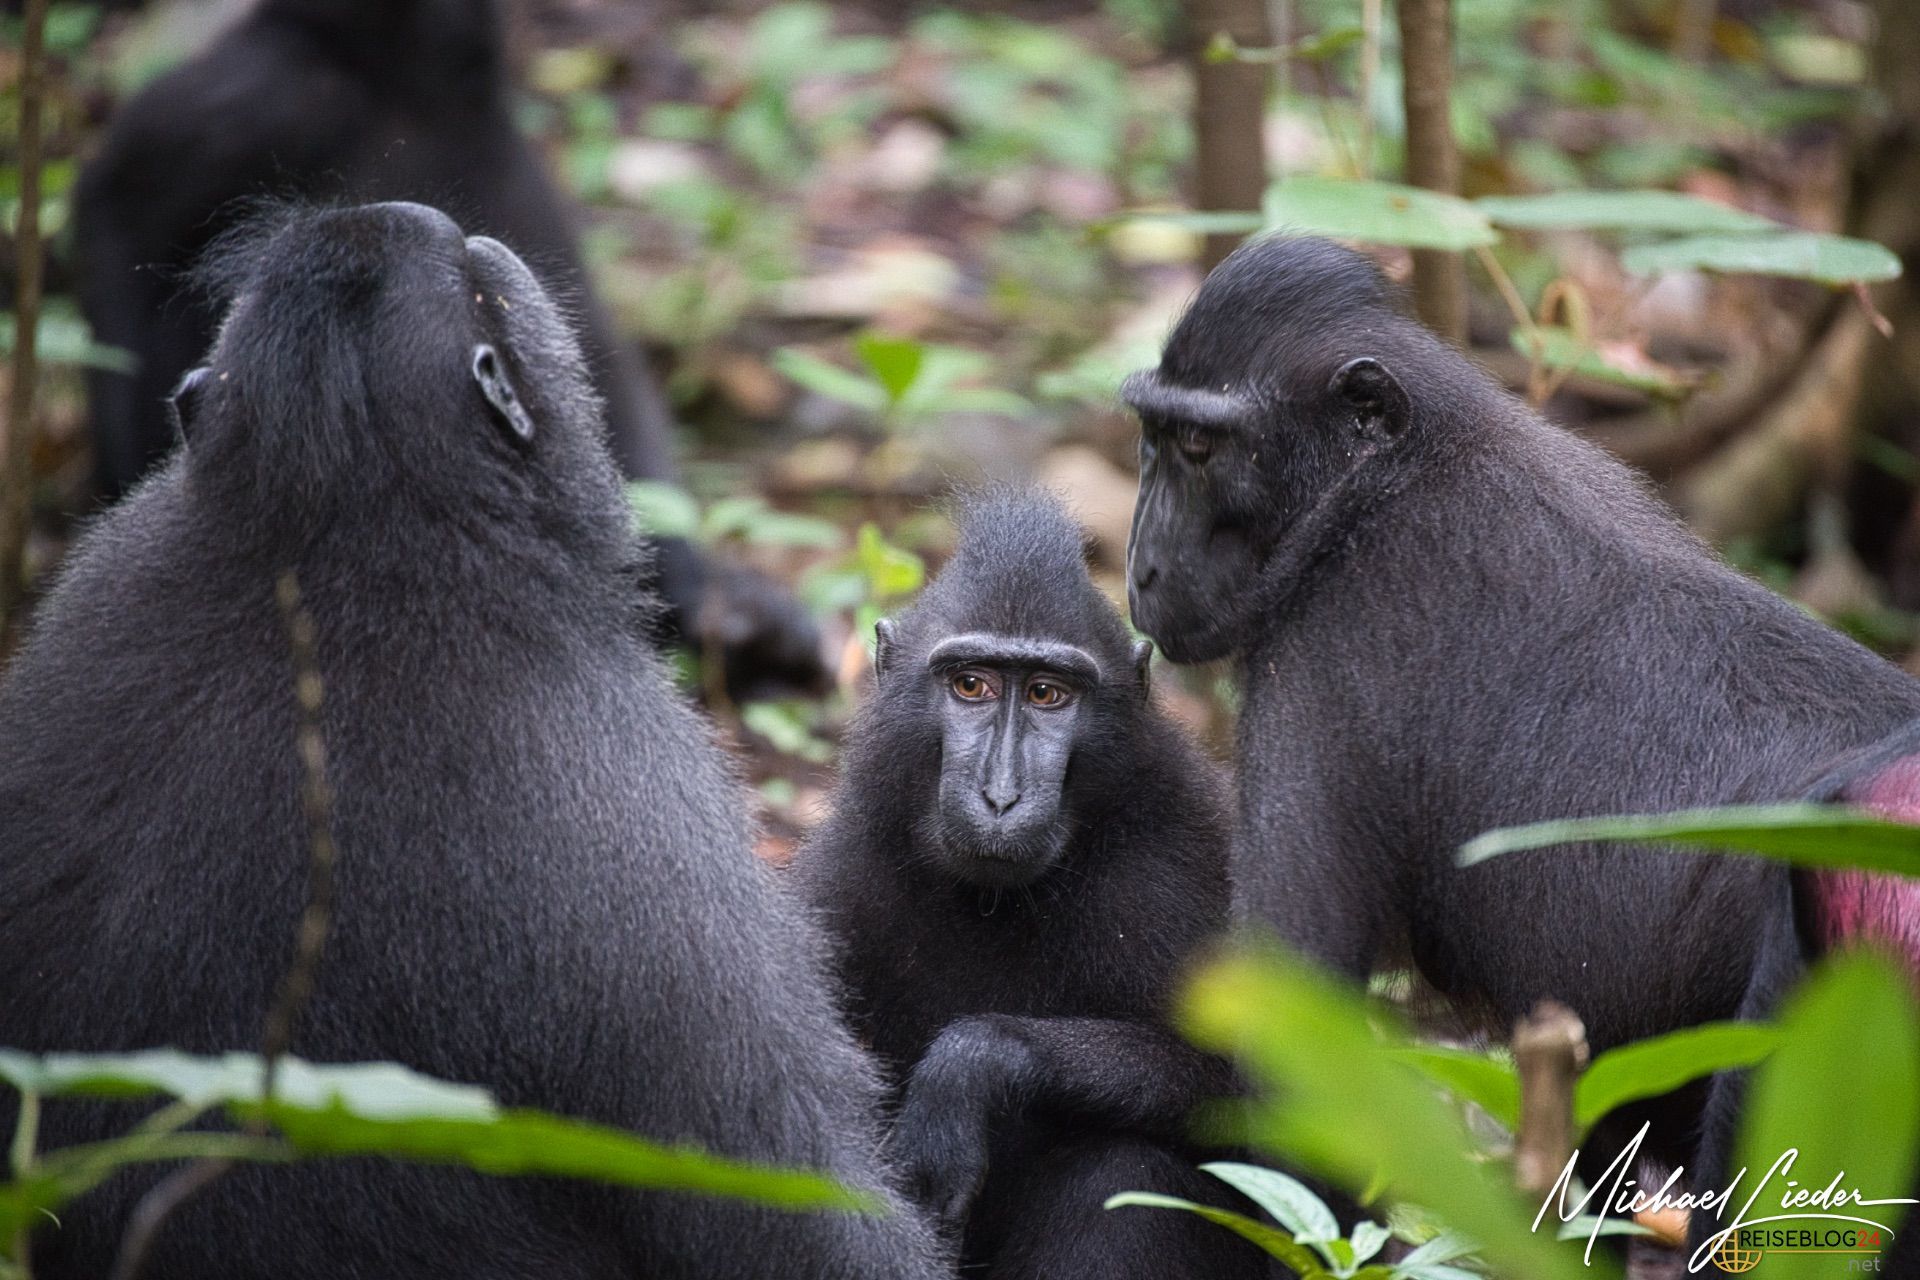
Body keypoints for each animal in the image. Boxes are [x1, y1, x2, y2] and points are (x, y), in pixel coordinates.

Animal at [0, 201, 947, 1280]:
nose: (424, 213)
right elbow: (791, 1206)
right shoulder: (641, 812)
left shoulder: (103, 575)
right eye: (471, 279)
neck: (338, 554)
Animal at [791, 489, 1276, 1279]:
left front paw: (971, 1069)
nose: (1000, 797)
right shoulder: (841, 877)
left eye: (1048, 694)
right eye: (971, 685)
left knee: (1126, 1171)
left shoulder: (1175, 868)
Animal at [1120, 234, 1920, 1222]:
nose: (1139, 564)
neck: (1387, 478)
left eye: (1198, 448)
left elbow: (1296, 1072)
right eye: (1151, 441)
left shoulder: (1323, 654)